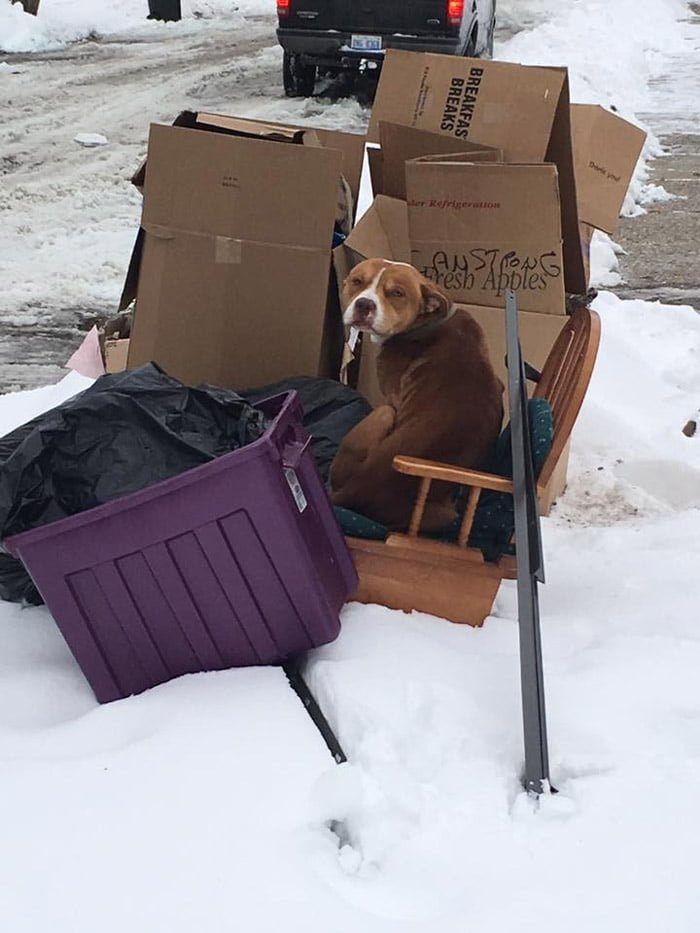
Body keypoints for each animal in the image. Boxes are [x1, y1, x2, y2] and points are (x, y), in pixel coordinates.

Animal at [330, 258, 504, 532]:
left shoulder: (391, 398)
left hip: (382, 414)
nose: (364, 304)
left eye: (397, 293)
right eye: (357, 281)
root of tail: (356, 490)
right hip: (445, 515)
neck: (426, 322)